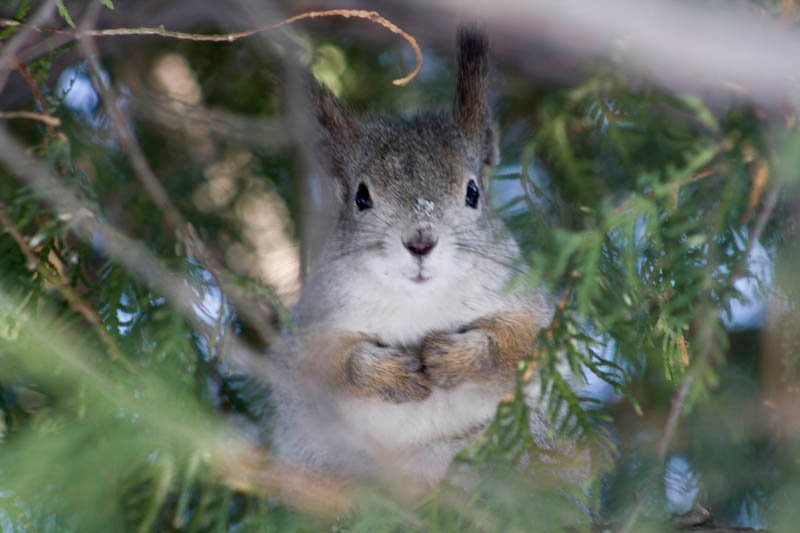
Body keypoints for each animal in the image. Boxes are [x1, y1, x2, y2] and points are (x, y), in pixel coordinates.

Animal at [267, 27, 557, 494]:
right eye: (361, 196)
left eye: (473, 192)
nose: (420, 242)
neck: (418, 301)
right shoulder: (313, 322)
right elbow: (331, 363)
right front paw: (389, 374)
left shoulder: (527, 303)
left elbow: (519, 341)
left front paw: (454, 358)